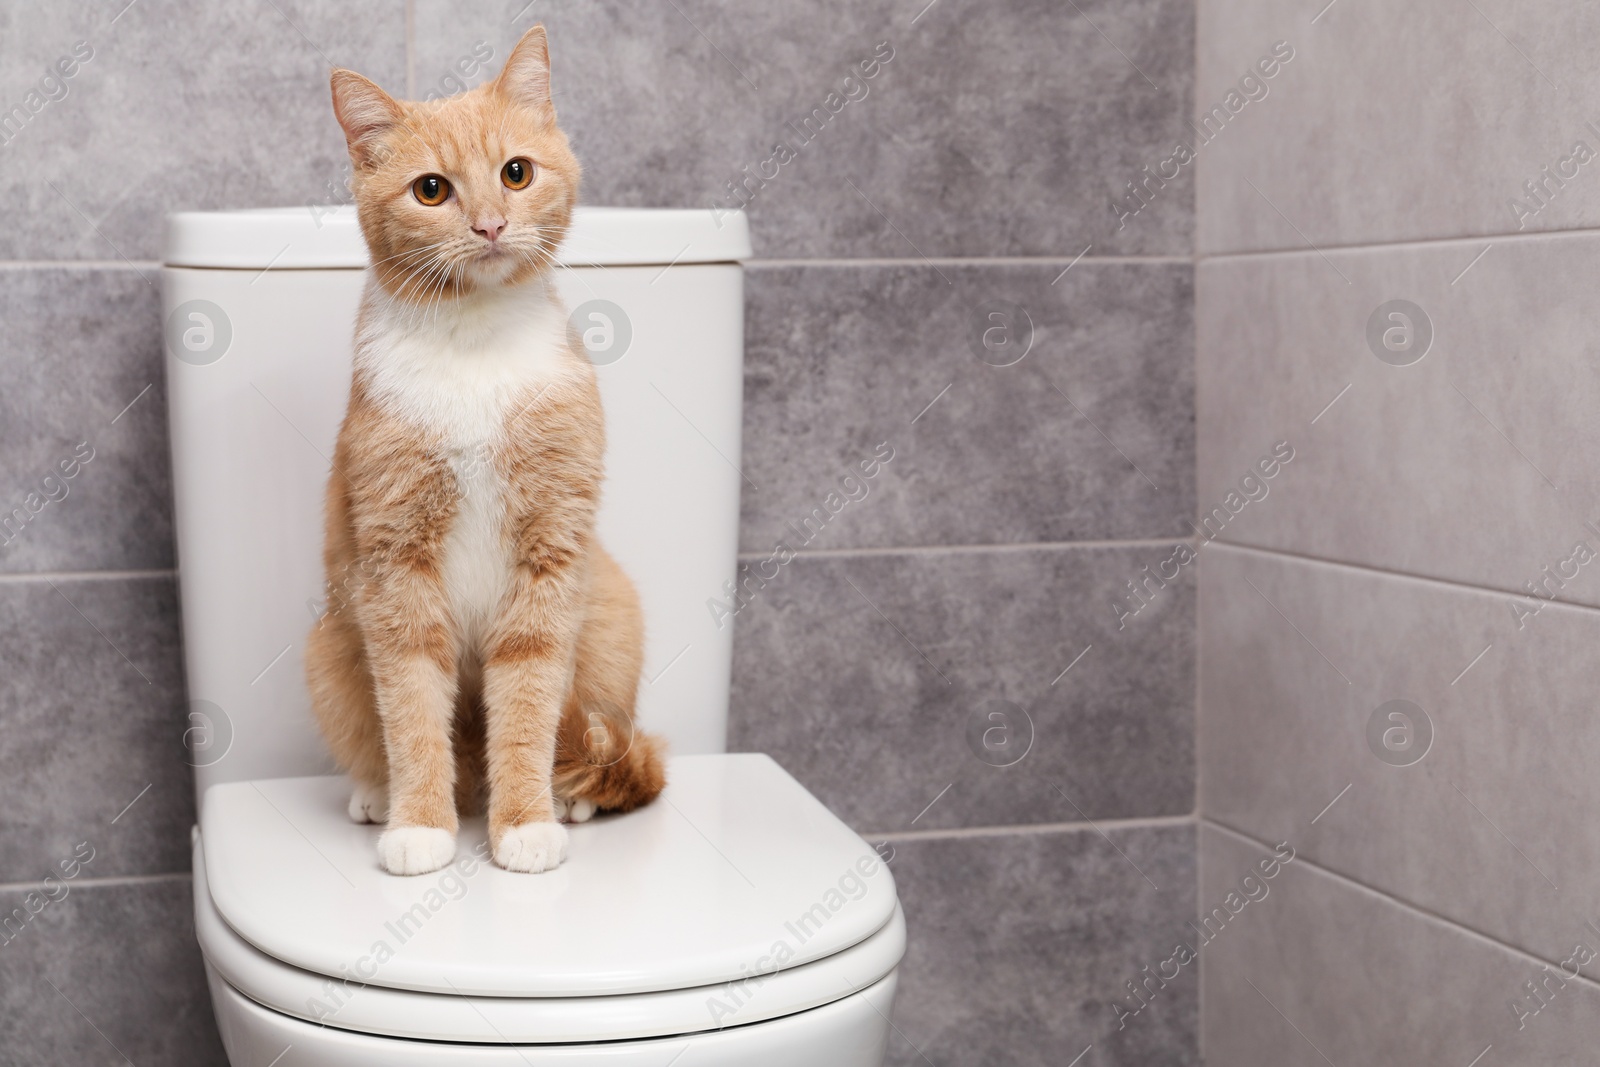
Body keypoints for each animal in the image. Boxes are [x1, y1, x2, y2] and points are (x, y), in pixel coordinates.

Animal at [305, 24, 662, 876]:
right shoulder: (395, 566)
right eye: (432, 190)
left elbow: (528, 704)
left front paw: (526, 822)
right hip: (327, 648)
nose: (492, 225)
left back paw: (571, 794)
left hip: (610, 612)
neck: (473, 343)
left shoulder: (550, 555)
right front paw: (421, 825)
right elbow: (411, 710)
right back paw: (378, 794)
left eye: (516, 173)